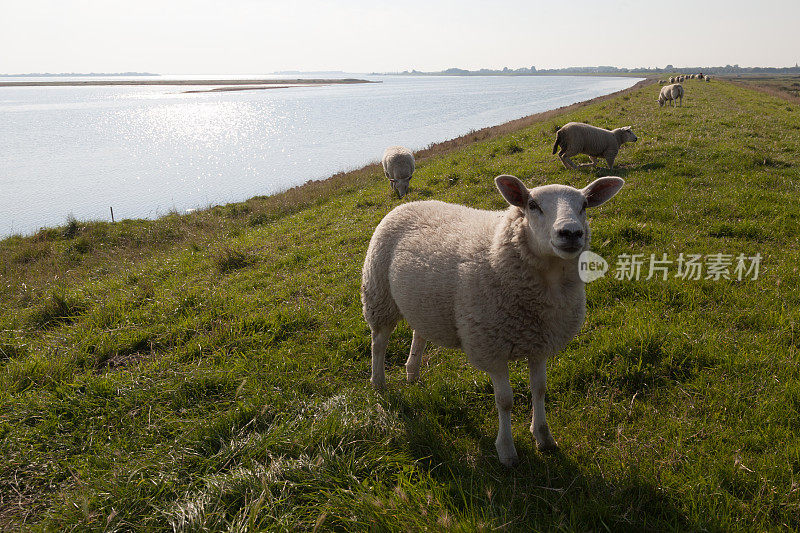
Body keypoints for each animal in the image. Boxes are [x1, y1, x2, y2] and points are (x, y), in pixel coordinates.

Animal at [360, 176, 624, 466]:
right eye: (532, 205)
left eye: (584, 205)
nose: (571, 233)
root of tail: (408, 203)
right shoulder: (491, 347)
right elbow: (505, 400)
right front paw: (507, 451)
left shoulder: (539, 343)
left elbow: (540, 389)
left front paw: (544, 437)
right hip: (379, 294)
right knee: (378, 342)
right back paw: (378, 383)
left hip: (422, 303)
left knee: (419, 333)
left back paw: (412, 373)